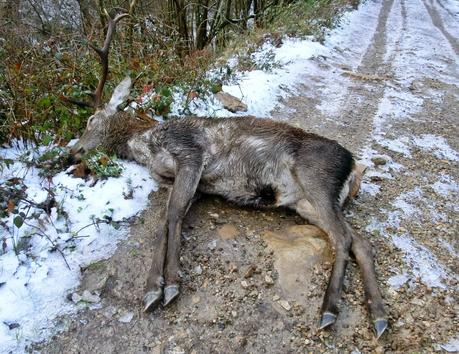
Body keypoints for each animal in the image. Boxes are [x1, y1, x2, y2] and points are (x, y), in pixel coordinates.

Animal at [69, 11, 388, 338]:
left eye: (91, 119)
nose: (73, 153)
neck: (147, 145)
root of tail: (352, 167)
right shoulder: (184, 183)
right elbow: (167, 220)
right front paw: (151, 290)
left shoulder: (189, 153)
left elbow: (173, 214)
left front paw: (169, 285)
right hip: (306, 202)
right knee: (360, 242)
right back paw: (378, 315)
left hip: (316, 178)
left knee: (343, 238)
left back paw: (329, 310)